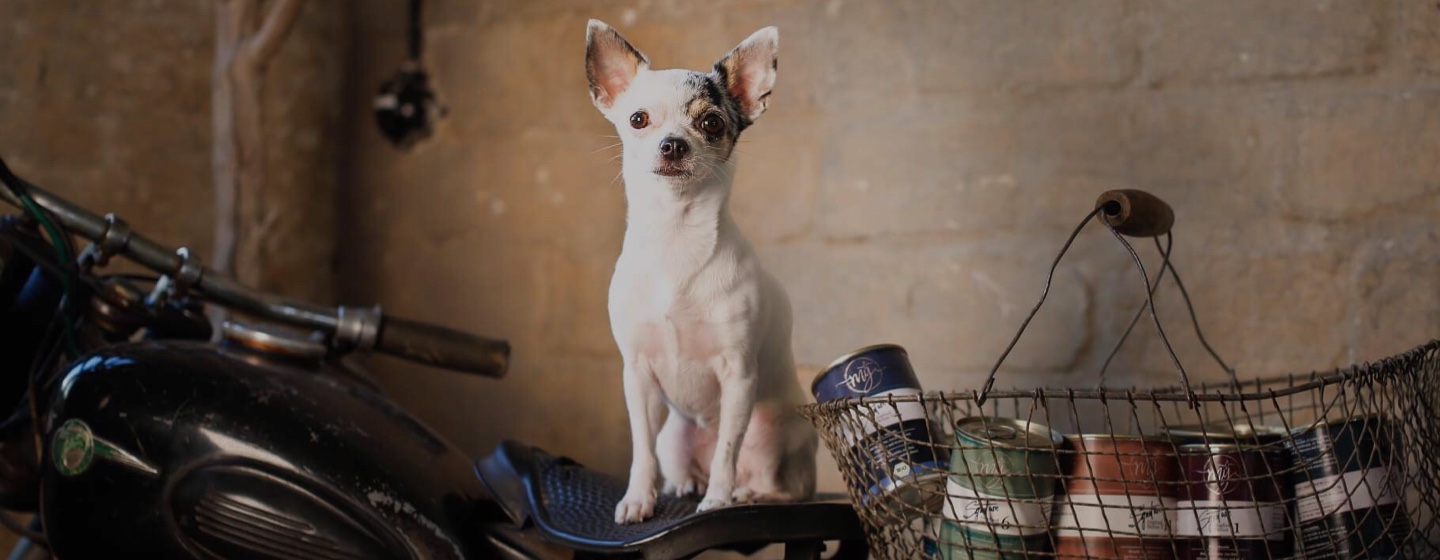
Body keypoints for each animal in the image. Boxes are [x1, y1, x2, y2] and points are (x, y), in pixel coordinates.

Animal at [578, 18, 817, 524]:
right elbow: (640, 449)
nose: (672, 144)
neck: (676, 238)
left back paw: (742, 493)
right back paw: (688, 484)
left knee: (779, 483)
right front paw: (638, 498)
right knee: (678, 461)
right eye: (638, 119)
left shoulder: (738, 375)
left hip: (776, 429)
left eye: (711, 122)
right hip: (675, 434)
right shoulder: (638, 375)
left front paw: (718, 502)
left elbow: (728, 447)